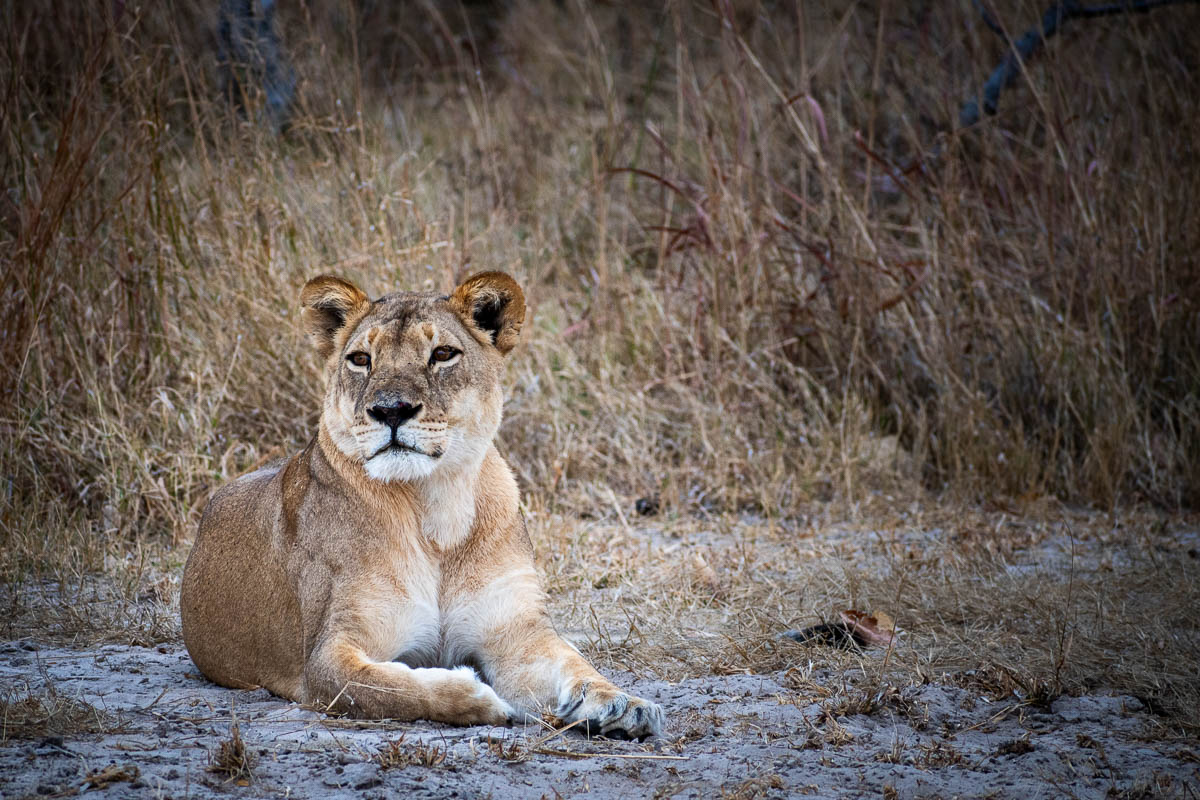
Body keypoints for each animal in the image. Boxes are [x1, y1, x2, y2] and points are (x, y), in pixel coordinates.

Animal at [180, 271, 663, 739]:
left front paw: (624, 704)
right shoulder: (327, 656)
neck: (437, 505)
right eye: (361, 359)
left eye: (443, 354)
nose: (391, 410)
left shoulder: (517, 633)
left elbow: (576, 663)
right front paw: (479, 697)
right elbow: (390, 687)